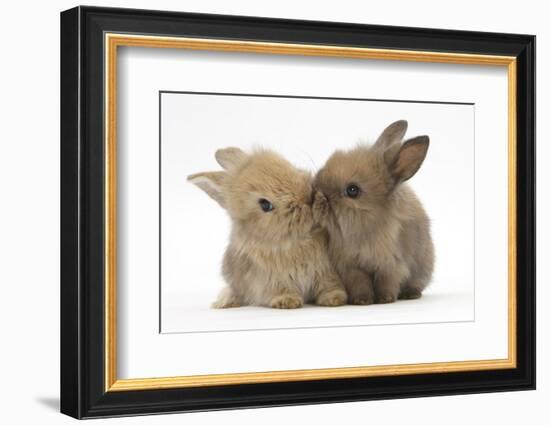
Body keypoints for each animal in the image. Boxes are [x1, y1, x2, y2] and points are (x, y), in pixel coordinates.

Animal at [188, 148, 348, 308]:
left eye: (290, 166)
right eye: (265, 204)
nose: (308, 198)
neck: (298, 240)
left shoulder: (325, 270)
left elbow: (328, 285)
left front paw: (334, 299)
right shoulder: (272, 279)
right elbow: (281, 289)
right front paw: (287, 301)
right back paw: (224, 303)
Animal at [314, 120, 436, 304]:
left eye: (352, 190)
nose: (317, 193)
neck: (366, 227)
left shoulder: (391, 265)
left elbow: (386, 282)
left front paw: (385, 299)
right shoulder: (351, 267)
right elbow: (360, 284)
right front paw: (362, 300)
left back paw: (410, 294)